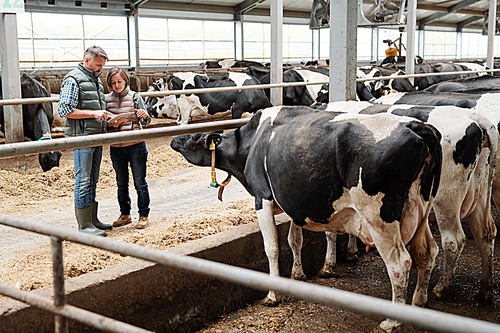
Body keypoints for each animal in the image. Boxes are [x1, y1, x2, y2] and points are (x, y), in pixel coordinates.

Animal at [171, 105, 442, 330]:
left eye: (194, 137)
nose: (174, 139)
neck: (251, 142)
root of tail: (415, 125)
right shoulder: (294, 203)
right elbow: (295, 240)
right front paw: (297, 276)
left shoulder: (262, 198)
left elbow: (272, 248)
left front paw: (273, 294)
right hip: (421, 208)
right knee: (428, 252)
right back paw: (419, 301)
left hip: (379, 217)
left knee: (400, 263)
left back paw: (392, 321)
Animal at [314, 101, 498, 300]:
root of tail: (474, 118)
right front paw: (351, 251)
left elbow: (330, 231)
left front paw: (328, 266)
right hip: (480, 192)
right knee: (484, 235)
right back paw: (486, 289)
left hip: (446, 198)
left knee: (453, 241)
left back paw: (441, 288)